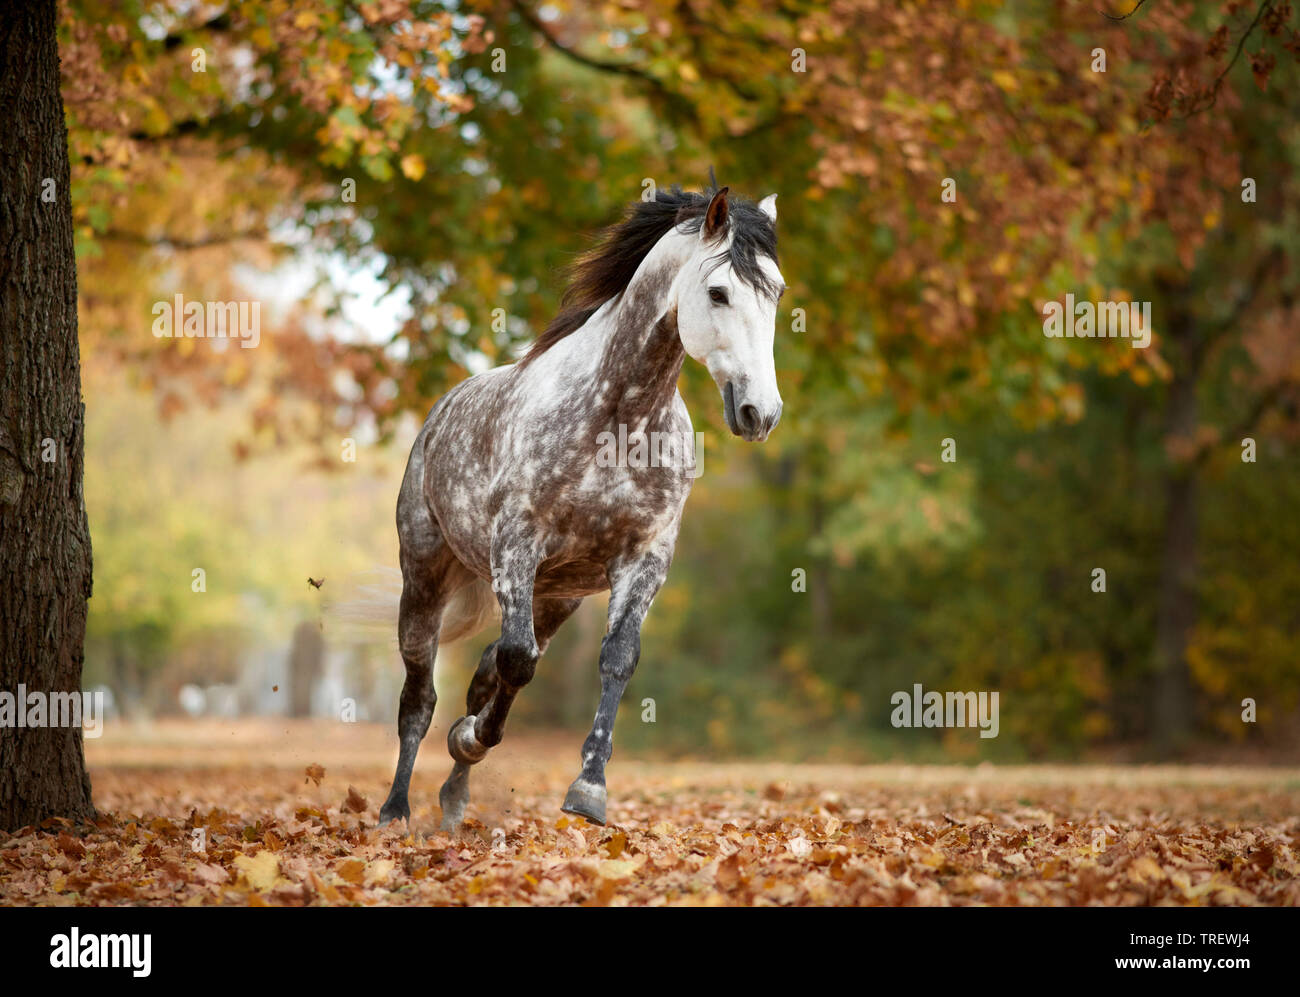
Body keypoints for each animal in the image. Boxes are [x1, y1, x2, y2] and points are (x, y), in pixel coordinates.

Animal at [377, 181, 780, 831]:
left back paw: (456, 798)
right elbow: (518, 662)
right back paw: (395, 810)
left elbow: (615, 660)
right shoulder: (517, 544)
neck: (619, 417)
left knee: (486, 666)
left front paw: (588, 790)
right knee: (421, 695)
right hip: (425, 576)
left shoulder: (643, 559)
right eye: (718, 292)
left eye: (777, 294)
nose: (760, 413)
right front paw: (472, 738)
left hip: (557, 595)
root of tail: (439, 414)